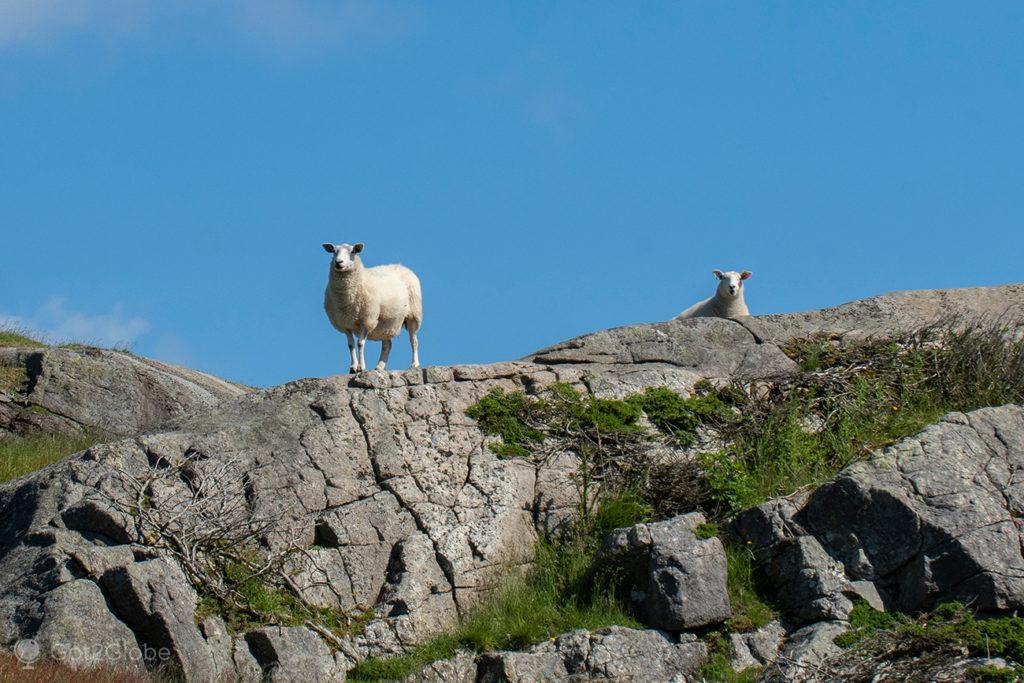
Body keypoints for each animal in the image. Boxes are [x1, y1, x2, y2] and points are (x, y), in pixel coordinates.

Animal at [321, 242, 421, 374]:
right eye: (333, 251)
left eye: (353, 251)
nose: (338, 262)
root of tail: (401, 265)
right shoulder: (345, 323)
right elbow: (351, 345)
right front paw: (353, 367)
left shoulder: (367, 319)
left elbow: (360, 343)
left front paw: (361, 367)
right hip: (386, 322)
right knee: (387, 345)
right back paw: (380, 367)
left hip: (413, 315)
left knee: (413, 341)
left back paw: (414, 364)